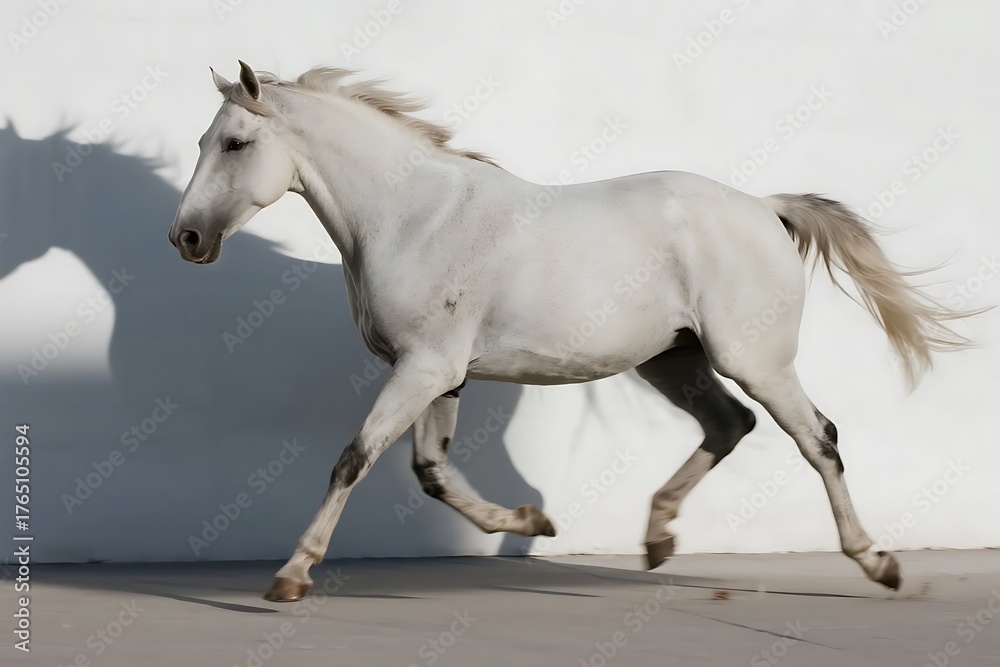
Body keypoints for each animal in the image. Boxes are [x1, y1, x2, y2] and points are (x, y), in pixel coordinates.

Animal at [168, 61, 974, 602]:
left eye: (234, 143)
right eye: (206, 140)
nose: (186, 238)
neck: (411, 216)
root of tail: (765, 208)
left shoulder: (423, 368)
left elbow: (353, 459)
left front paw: (292, 573)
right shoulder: (440, 374)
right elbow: (431, 472)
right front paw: (533, 519)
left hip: (754, 359)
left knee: (819, 438)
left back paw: (877, 561)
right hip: (672, 361)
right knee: (729, 424)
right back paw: (657, 539)